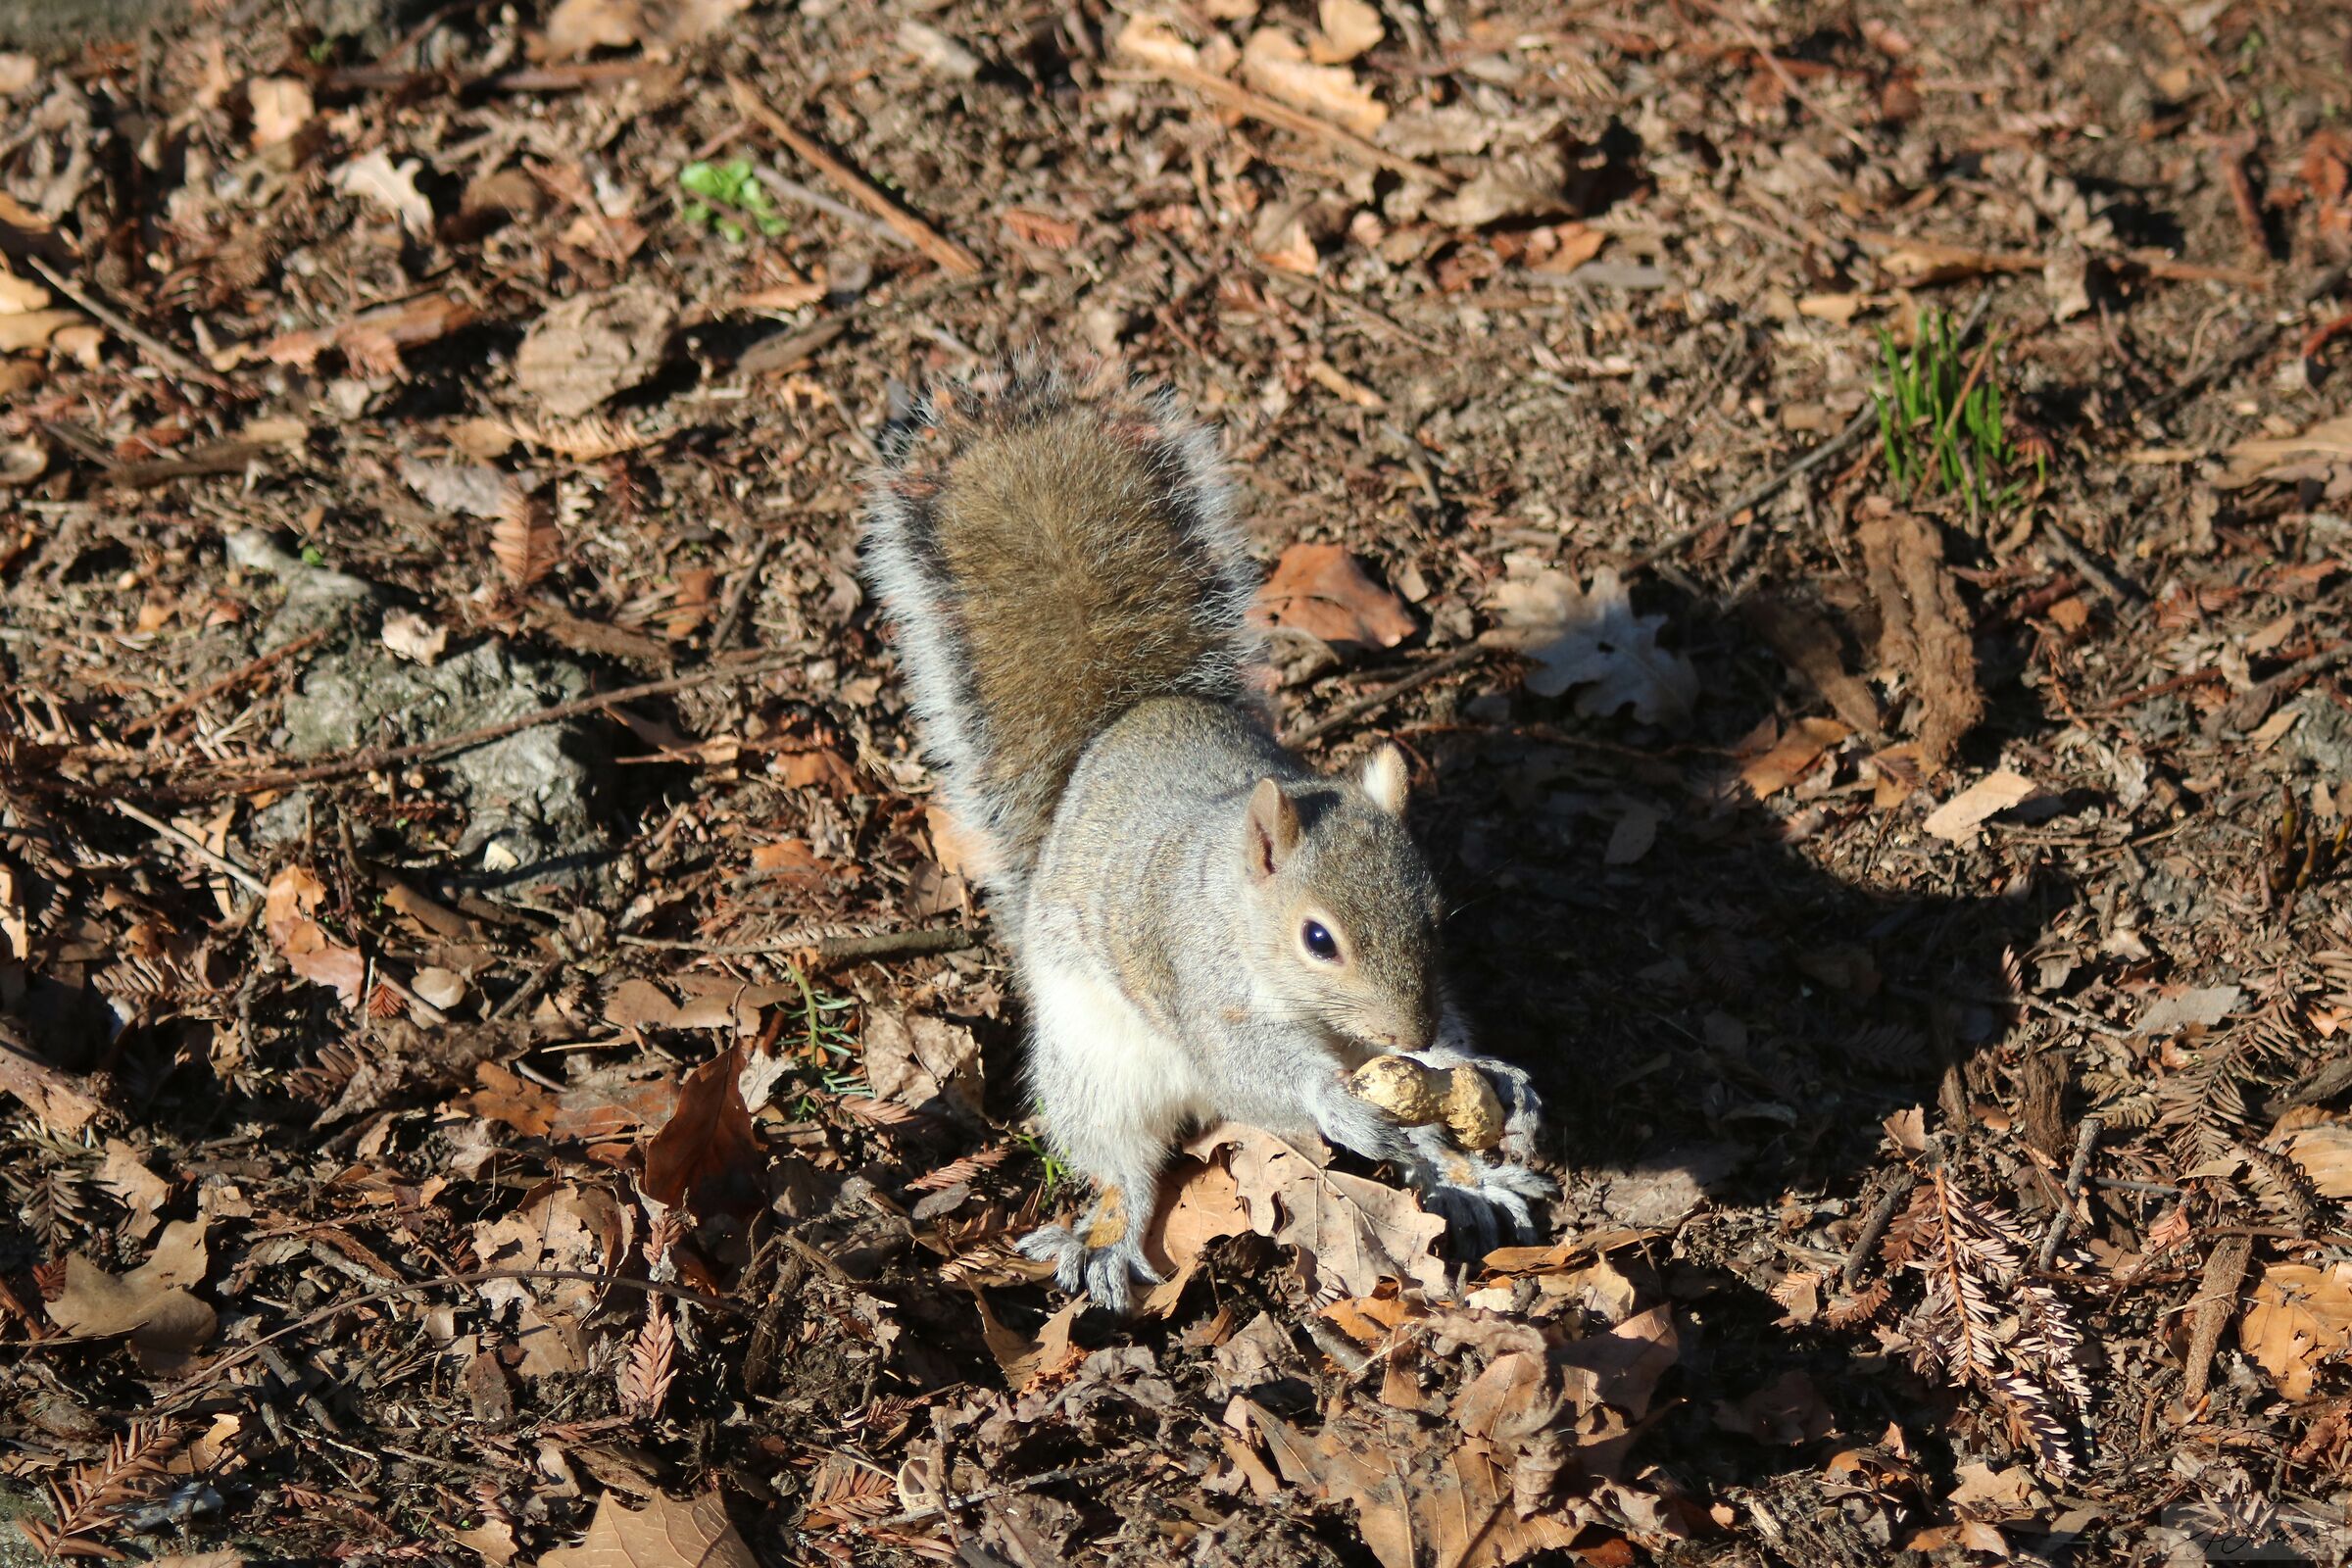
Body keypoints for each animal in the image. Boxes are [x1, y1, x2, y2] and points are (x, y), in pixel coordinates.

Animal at [862, 356, 1549, 1314]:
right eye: (1317, 939)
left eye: (1436, 912)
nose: (1405, 1033)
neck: (1236, 898)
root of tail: (1130, 721)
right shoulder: (1200, 977)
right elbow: (1246, 1068)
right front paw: (1338, 1104)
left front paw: (1486, 1076)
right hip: (1096, 1061)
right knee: (1119, 1160)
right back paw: (1109, 1236)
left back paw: (1471, 1179)